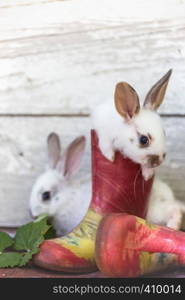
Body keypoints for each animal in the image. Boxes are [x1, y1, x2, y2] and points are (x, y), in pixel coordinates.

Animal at [91, 70, 185, 230]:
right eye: (143, 140)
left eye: (164, 133)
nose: (159, 161)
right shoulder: (103, 132)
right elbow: (105, 144)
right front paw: (110, 157)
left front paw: (147, 174)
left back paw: (175, 224)